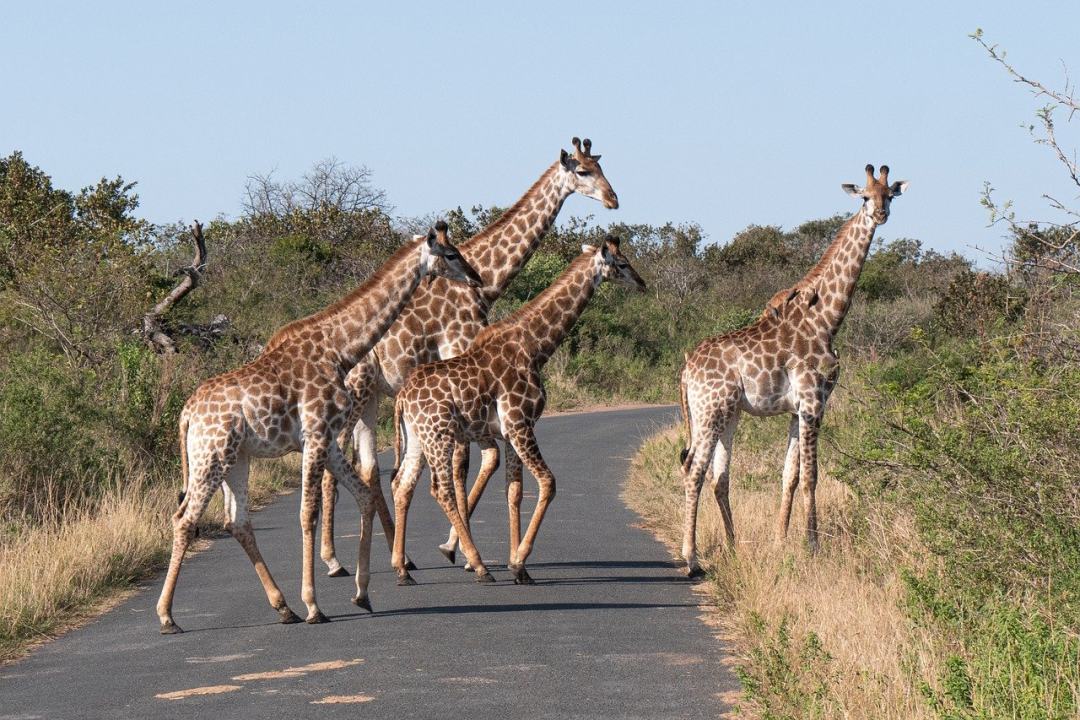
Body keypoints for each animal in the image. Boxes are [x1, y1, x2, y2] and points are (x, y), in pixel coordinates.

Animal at [154, 222, 483, 634]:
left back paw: (283, 608)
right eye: (451, 254)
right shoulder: (314, 435)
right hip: (211, 455)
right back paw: (167, 617)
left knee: (238, 522)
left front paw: (362, 593)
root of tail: (187, 413)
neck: (339, 349)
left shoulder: (329, 438)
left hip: (236, 458)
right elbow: (308, 512)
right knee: (184, 519)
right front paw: (314, 604)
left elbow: (363, 495)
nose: (476, 278)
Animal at [315, 134, 617, 578]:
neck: (485, 283)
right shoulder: (461, 358)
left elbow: (477, 461)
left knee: (369, 467)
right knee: (332, 463)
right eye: (583, 171)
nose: (614, 199)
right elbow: (469, 461)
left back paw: (397, 554)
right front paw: (454, 548)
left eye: (602, 166)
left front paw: (459, 547)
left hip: (371, 398)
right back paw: (334, 560)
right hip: (354, 393)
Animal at [388, 236, 639, 587]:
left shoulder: (509, 433)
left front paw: (519, 567)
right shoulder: (521, 424)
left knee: (403, 485)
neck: (535, 347)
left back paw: (402, 569)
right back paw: (479, 565)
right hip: (440, 435)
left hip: (417, 437)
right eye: (623, 263)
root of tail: (402, 397)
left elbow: (514, 491)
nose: (642, 283)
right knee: (441, 489)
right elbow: (548, 482)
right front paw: (519, 562)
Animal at [678, 162, 907, 574]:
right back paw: (691, 558)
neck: (827, 319)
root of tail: (686, 370)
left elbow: (790, 475)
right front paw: (812, 545)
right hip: (710, 411)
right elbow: (812, 476)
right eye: (865, 197)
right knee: (694, 471)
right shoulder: (814, 401)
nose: (881, 214)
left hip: (729, 413)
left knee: (719, 476)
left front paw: (780, 541)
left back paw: (733, 547)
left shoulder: (798, 408)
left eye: (890, 196)